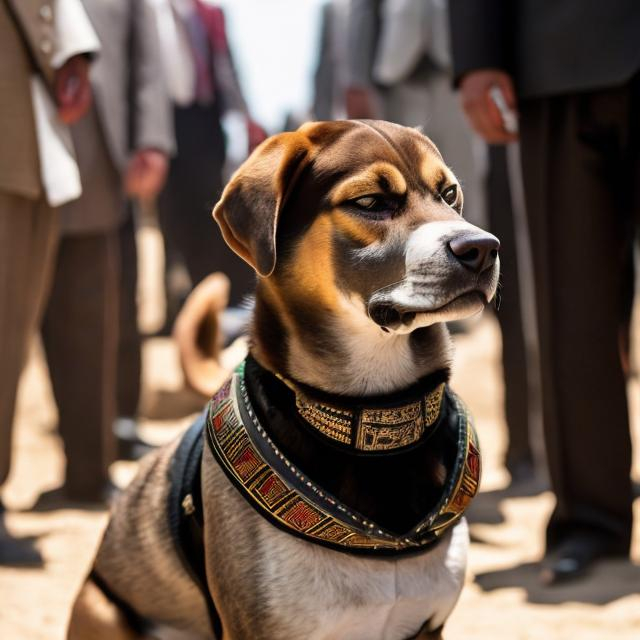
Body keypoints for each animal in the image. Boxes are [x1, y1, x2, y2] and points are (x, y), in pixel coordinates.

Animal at [69, 121, 500, 640]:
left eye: (449, 193)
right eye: (371, 201)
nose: (484, 248)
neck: (371, 417)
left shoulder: (428, 625)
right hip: (102, 609)